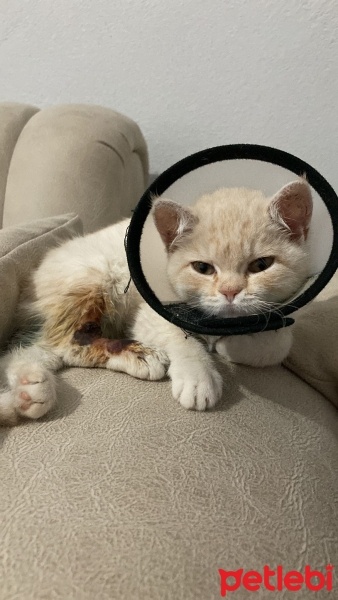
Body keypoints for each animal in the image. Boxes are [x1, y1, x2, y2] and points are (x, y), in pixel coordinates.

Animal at [0, 179, 312, 426]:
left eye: (261, 265)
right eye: (203, 268)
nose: (230, 291)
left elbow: (278, 344)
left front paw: (230, 344)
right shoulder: (149, 313)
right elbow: (179, 338)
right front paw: (198, 378)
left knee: (27, 352)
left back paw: (28, 388)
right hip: (97, 276)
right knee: (68, 343)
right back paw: (140, 356)